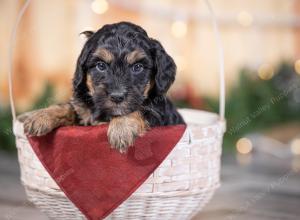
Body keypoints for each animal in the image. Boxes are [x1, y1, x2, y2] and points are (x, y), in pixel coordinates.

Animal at [19, 22, 184, 153]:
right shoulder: (84, 115)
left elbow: (141, 108)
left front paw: (121, 128)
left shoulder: (159, 113)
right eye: (101, 66)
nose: (117, 96)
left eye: (137, 67)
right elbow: (69, 107)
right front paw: (41, 116)